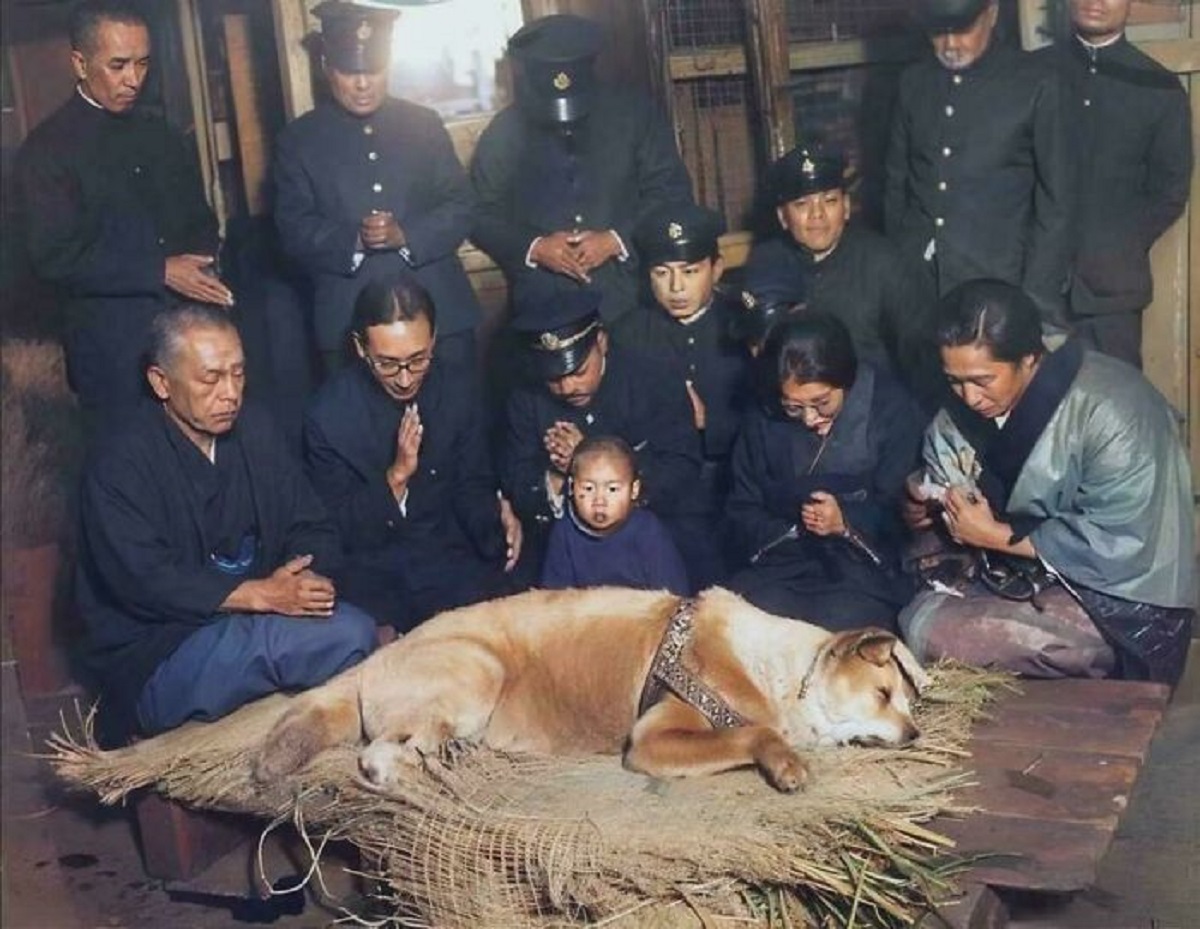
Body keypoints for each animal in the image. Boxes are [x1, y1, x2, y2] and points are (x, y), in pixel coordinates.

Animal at [253, 590, 926, 792]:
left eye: (905, 699)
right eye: (882, 694)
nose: (916, 734)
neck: (781, 671)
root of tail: (376, 658)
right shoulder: (654, 739)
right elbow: (753, 733)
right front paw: (784, 763)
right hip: (477, 671)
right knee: (374, 757)